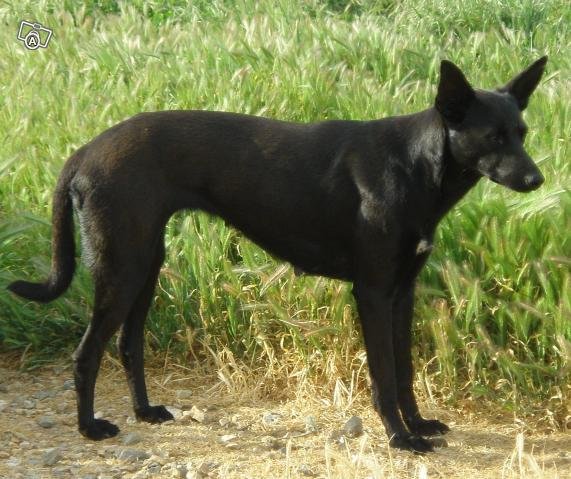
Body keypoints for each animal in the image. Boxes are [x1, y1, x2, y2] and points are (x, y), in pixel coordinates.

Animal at [7, 58, 544, 452]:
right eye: (493, 137)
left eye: (522, 132)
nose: (537, 181)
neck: (413, 163)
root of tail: (84, 151)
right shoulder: (372, 292)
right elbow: (384, 375)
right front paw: (398, 437)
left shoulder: (402, 292)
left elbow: (405, 370)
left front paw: (418, 424)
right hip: (123, 267)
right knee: (87, 352)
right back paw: (90, 427)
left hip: (145, 264)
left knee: (127, 344)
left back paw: (146, 412)